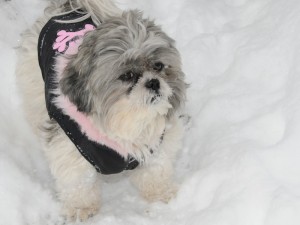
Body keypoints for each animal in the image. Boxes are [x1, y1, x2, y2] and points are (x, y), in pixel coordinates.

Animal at [16, 0, 186, 221]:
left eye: (158, 66)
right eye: (127, 75)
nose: (154, 82)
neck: (127, 120)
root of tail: (69, 9)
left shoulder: (157, 144)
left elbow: (156, 170)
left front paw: (160, 194)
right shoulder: (71, 148)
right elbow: (78, 183)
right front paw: (80, 208)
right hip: (34, 82)